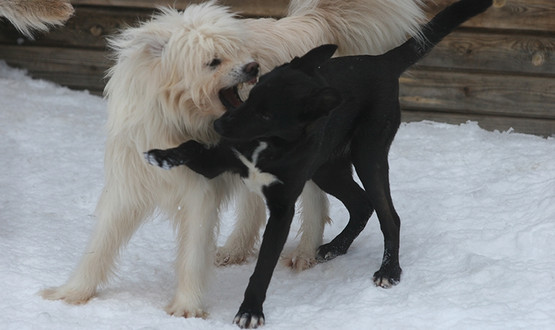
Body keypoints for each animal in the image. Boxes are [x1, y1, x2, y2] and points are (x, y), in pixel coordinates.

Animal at [42, 0, 426, 320]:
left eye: (240, 53)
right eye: (214, 61)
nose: (253, 67)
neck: (173, 118)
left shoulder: (199, 193)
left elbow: (193, 252)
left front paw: (186, 307)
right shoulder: (128, 183)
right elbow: (101, 244)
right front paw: (72, 293)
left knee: (319, 203)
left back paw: (306, 252)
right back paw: (237, 249)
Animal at [146, 0, 494, 324]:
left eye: (266, 114)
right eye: (252, 95)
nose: (219, 125)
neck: (268, 145)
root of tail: (381, 62)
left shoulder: (282, 209)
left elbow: (263, 266)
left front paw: (250, 311)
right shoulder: (220, 159)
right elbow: (192, 147)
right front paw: (160, 155)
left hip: (369, 157)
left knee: (389, 215)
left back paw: (389, 270)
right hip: (328, 169)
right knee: (361, 204)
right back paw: (333, 247)